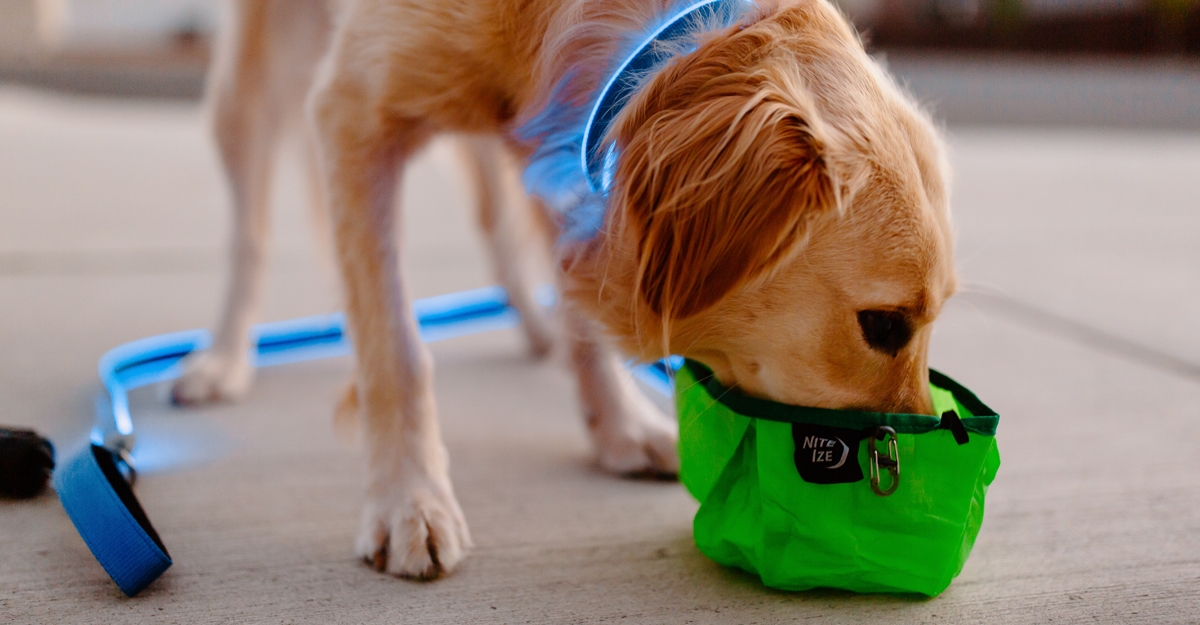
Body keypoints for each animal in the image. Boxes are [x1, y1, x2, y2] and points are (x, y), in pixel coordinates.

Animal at [171, 0, 955, 578]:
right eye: (884, 325)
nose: (924, 471)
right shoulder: (353, 110)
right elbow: (395, 349)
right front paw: (407, 500)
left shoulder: (565, 133)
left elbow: (576, 299)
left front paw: (618, 424)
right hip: (251, 83)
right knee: (248, 231)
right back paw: (222, 359)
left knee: (495, 216)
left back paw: (535, 325)